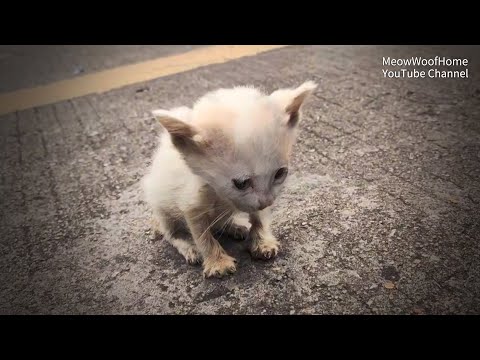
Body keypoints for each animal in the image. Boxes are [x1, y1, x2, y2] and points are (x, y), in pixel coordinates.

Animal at [141, 81, 316, 278]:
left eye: (280, 173)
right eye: (241, 183)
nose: (267, 202)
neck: (218, 193)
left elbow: (259, 216)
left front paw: (262, 241)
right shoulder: (190, 202)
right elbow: (202, 235)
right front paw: (217, 262)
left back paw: (234, 226)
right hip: (162, 206)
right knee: (171, 233)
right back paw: (188, 245)